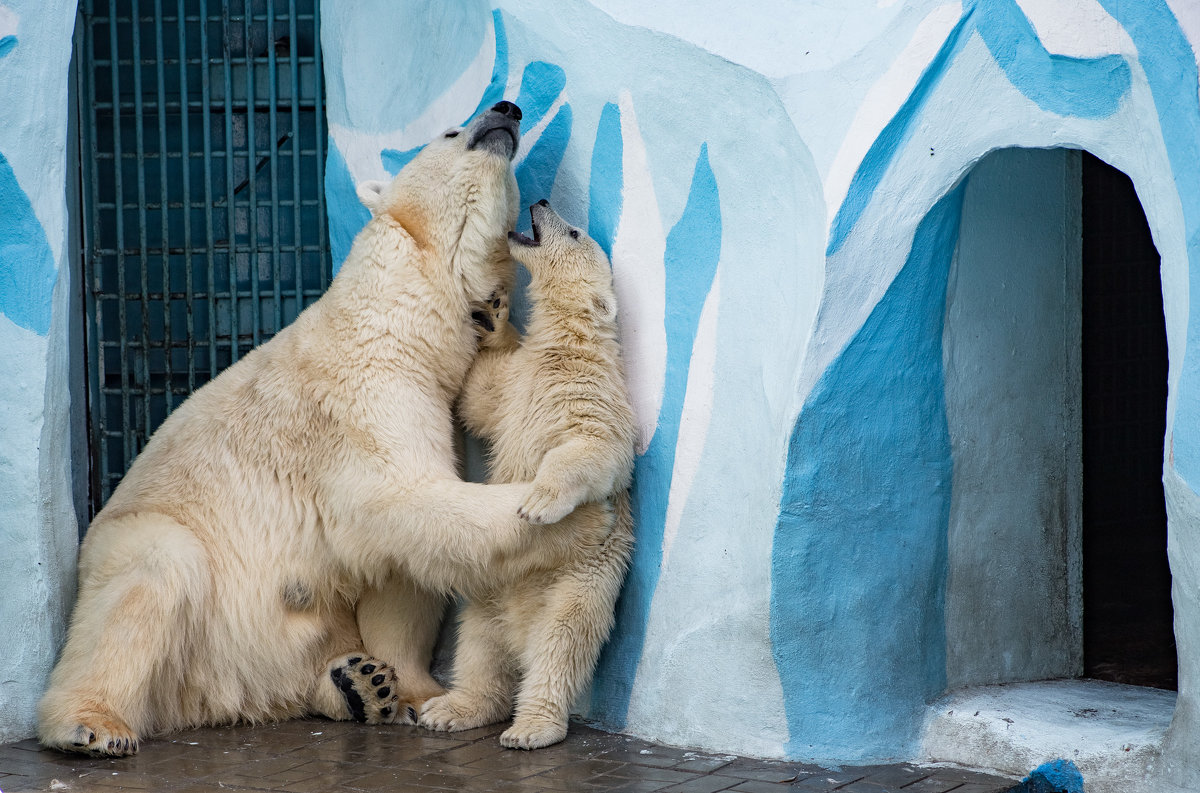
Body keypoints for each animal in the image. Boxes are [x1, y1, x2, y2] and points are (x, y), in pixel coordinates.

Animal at [38, 101, 600, 758]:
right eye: (451, 131)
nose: (506, 109)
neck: (404, 313)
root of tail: (215, 693)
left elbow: (397, 571)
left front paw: (411, 690)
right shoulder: (365, 397)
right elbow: (406, 504)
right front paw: (572, 516)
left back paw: (357, 684)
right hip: (147, 554)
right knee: (148, 577)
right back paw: (92, 723)